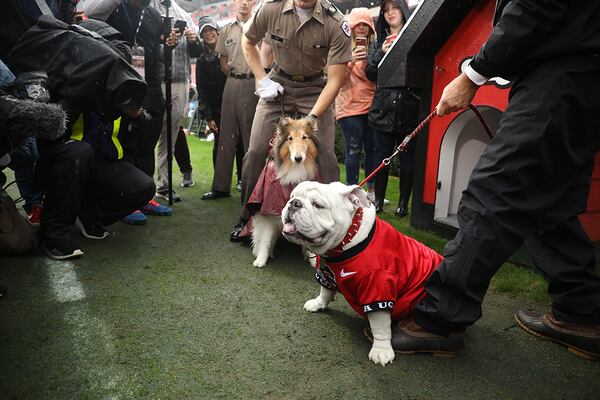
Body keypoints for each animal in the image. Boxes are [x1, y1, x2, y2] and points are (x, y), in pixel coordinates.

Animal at [251, 118, 318, 268]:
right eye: (290, 138)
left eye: (304, 137)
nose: (298, 158)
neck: (294, 169)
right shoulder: (268, 213)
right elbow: (265, 239)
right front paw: (261, 260)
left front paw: (314, 260)